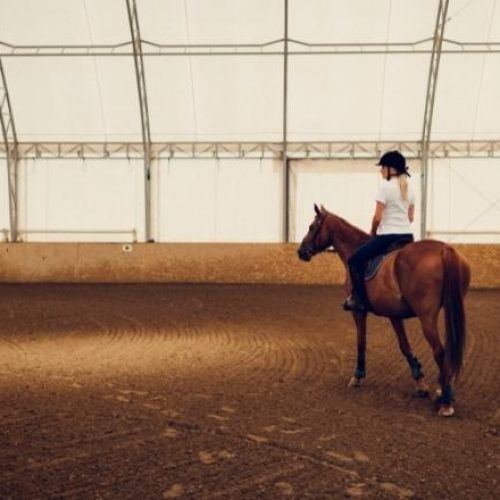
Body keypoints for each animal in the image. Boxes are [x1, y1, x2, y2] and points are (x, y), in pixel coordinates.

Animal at [298, 204, 470, 418]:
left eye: (312, 227)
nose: (301, 251)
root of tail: (444, 249)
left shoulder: (358, 311)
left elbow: (361, 342)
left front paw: (357, 377)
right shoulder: (394, 315)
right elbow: (405, 347)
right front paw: (420, 384)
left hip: (427, 317)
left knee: (440, 352)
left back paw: (445, 402)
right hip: (450, 310)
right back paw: (445, 391)